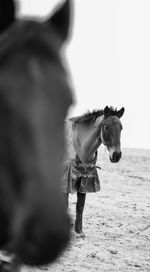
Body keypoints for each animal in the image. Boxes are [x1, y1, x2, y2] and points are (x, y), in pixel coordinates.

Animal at [62, 106, 125, 238]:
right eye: (106, 126)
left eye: (121, 127)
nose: (116, 155)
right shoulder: (66, 179)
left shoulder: (84, 179)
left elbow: (80, 206)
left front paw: (79, 231)